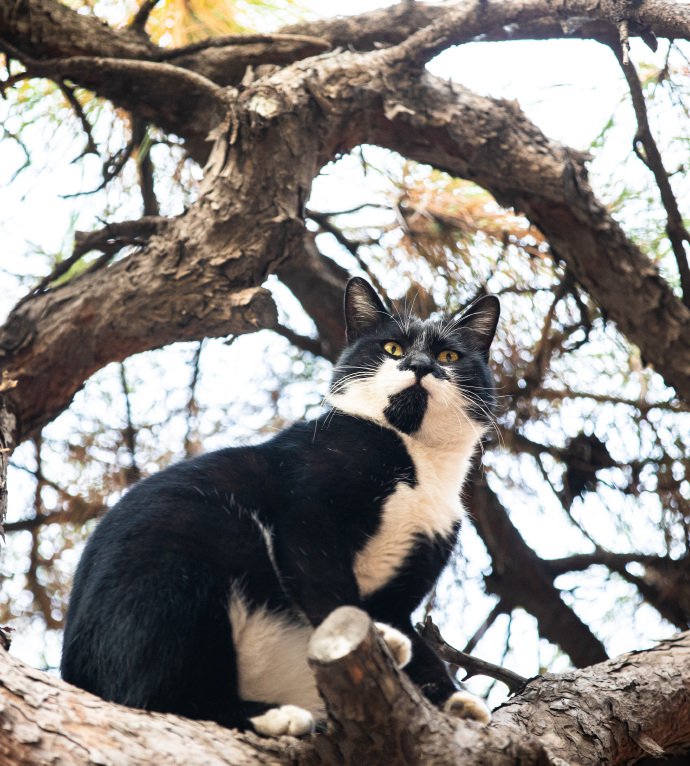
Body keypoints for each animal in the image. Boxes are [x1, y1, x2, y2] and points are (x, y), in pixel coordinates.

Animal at [60, 278, 500, 736]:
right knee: (151, 692)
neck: (415, 458)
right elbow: (327, 584)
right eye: (392, 348)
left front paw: (454, 701)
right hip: (192, 540)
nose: (419, 364)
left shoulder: (411, 569)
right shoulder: (309, 508)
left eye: (448, 356)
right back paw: (273, 715)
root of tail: (74, 670)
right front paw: (385, 640)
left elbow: (409, 631)